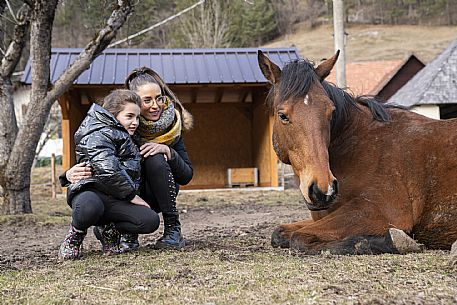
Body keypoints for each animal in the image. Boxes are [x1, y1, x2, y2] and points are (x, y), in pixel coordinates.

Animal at [256, 50, 456, 254]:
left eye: (330, 112)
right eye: (282, 116)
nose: (323, 189)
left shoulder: (376, 211)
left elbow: (299, 238)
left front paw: (392, 241)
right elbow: (279, 232)